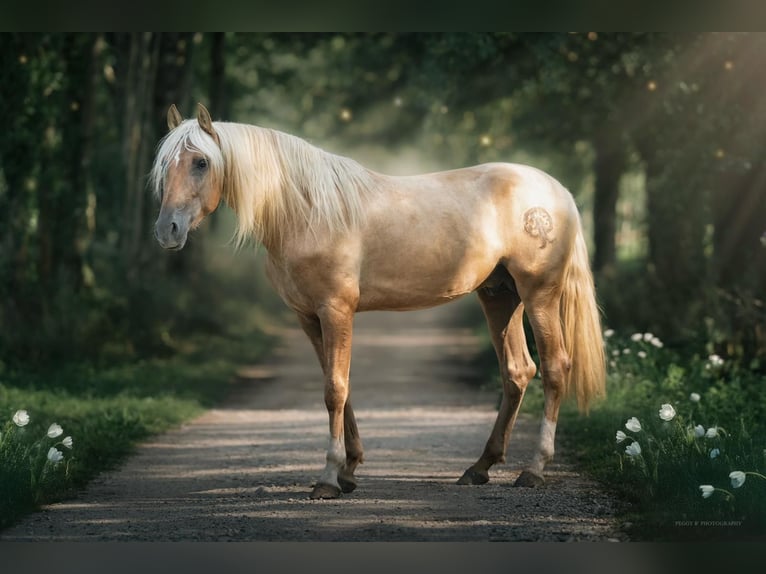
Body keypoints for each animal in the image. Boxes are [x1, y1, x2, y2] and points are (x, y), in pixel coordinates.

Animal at [150, 106, 608, 502]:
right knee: (517, 371)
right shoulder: (309, 317)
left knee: (555, 368)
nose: (167, 230)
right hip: (500, 296)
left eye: (201, 163)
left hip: (539, 294)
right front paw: (349, 471)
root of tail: (557, 191)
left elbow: (334, 390)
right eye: (164, 165)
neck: (308, 212)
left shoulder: (336, 310)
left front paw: (328, 478)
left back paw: (534, 470)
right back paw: (479, 468)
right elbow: (340, 386)